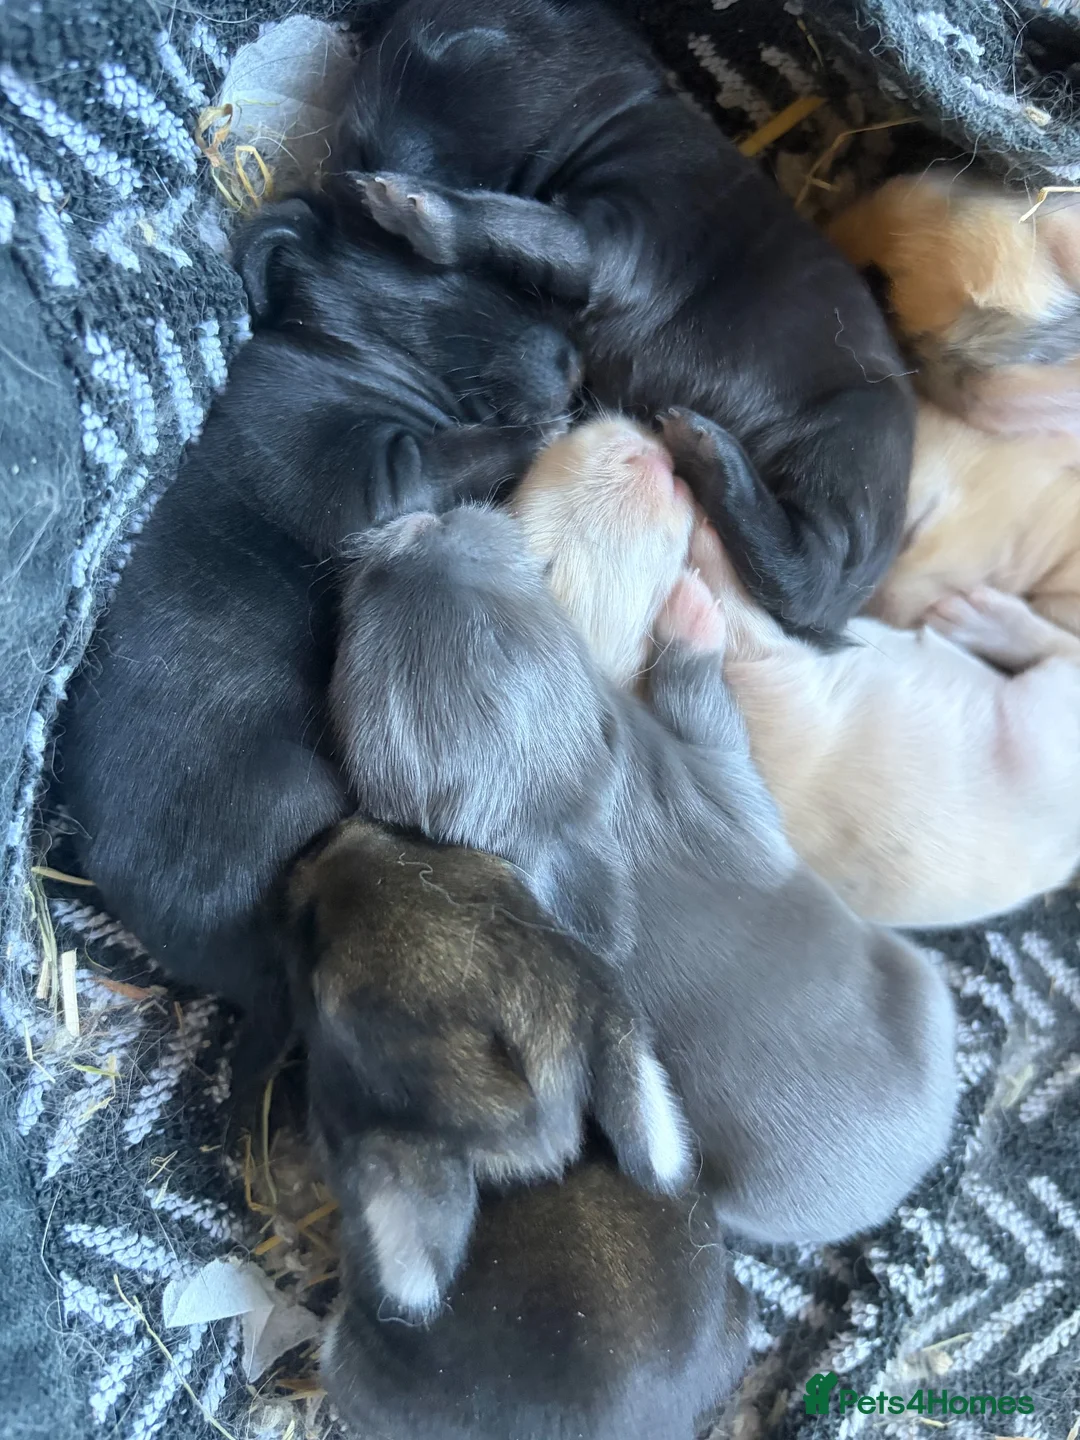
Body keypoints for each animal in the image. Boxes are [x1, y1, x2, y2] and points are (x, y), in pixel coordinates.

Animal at [57, 183, 580, 1084]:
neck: (331, 351)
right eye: (434, 271)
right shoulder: (369, 474)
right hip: (305, 799)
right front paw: (540, 434)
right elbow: (454, 455)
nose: (577, 360)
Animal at [329, 502, 958, 1246]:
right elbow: (708, 709)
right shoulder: (732, 792)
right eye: (366, 631)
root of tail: (910, 1169)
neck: (568, 803)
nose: (422, 525)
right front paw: (694, 602)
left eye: (508, 600)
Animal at [334, 0, 914, 642]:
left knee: (807, 573)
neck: (622, 105)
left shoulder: (630, 235)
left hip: (849, 446)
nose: (343, 164)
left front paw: (415, 206)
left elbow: (535, 227)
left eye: (454, 44)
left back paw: (710, 450)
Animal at [513, 415, 1080, 928]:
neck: (633, 684)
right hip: (1047, 714)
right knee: (1063, 653)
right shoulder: (756, 661)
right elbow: (732, 596)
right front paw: (707, 518)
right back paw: (984, 620)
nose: (637, 450)